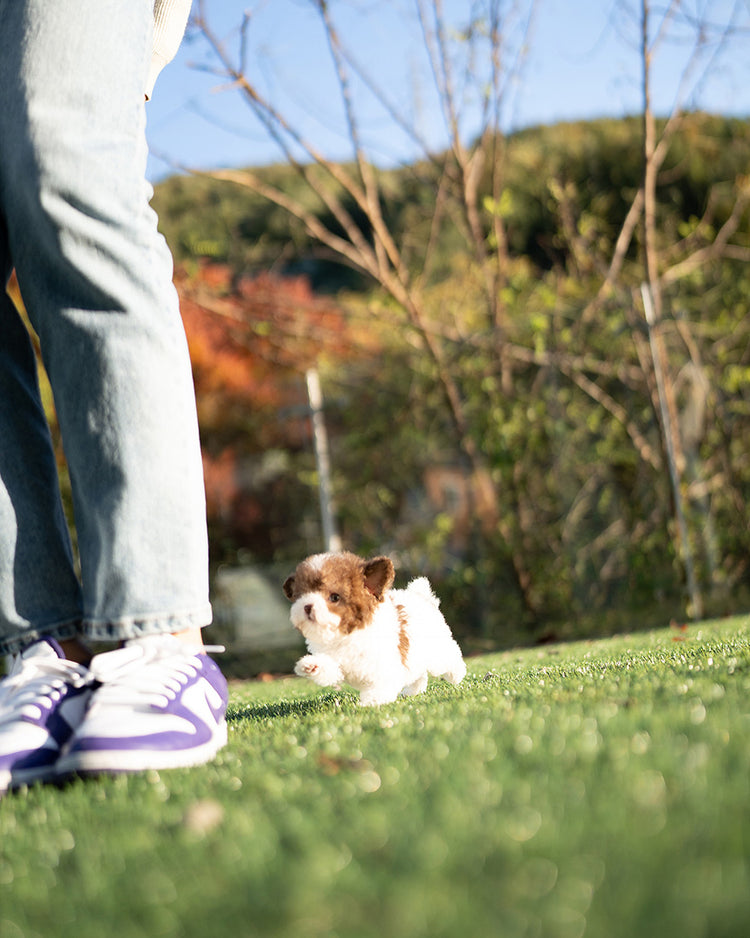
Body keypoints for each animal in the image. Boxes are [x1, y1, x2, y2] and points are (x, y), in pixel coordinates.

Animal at [284, 548, 468, 704]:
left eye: (334, 597)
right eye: (301, 595)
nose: (307, 606)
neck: (348, 634)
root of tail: (420, 596)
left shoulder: (383, 663)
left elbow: (381, 684)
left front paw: (372, 701)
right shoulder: (337, 660)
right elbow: (330, 667)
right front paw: (310, 666)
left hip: (435, 651)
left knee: (450, 656)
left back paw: (457, 674)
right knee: (419, 675)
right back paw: (412, 691)